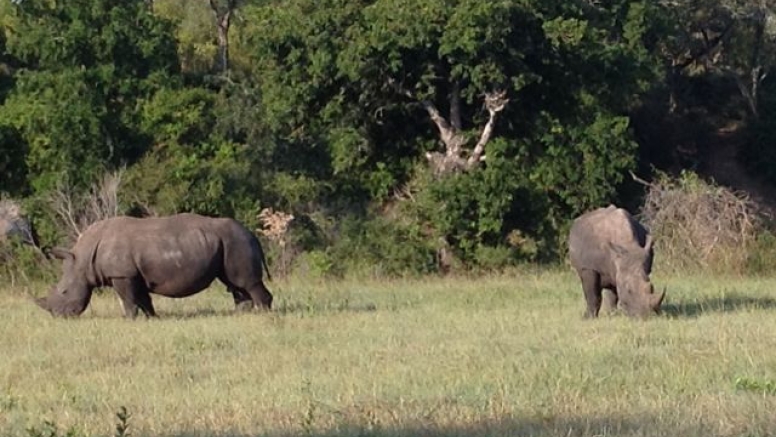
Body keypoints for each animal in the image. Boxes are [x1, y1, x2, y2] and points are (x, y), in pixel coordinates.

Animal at [35, 212, 272, 316]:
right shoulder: (133, 274)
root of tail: (252, 233)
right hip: (228, 243)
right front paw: (152, 318)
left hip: (237, 242)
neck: (83, 260)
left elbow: (129, 300)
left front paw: (130, 320)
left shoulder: (122, 274)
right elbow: (143, 299)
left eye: (64, 292)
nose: (58, 316)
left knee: (247, 282)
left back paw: (263, 314)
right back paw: (241, 315)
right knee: (234, 283)